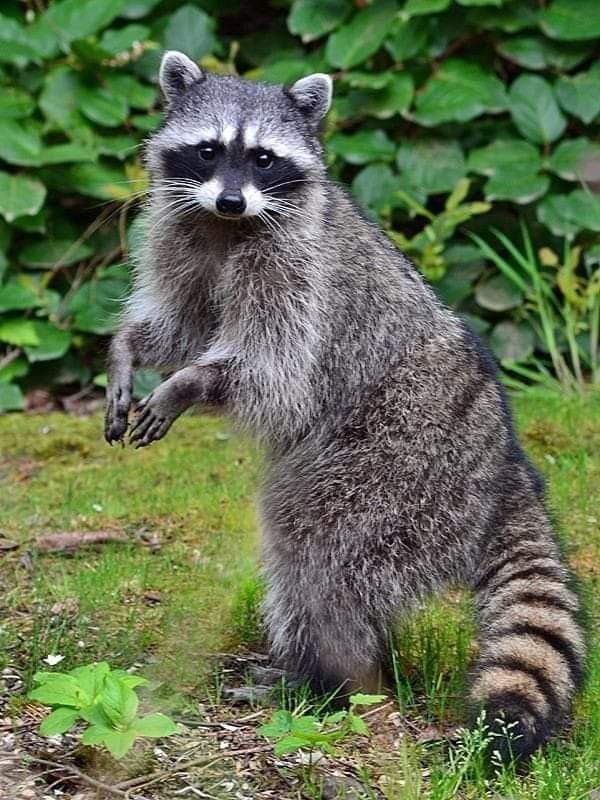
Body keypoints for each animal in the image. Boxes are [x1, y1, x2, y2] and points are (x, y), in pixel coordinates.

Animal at [105, 51, 585, 761]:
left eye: (264, 159)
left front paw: (187, 385)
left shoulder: (297, 276)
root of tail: (506, 466)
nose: (229, 198)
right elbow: (183, 324)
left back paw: (326, 677)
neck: (228, 225)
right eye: (209, 150)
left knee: (318, 548)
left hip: (399, 460)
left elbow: (274, 374)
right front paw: (128, 349)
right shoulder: (183, 235)